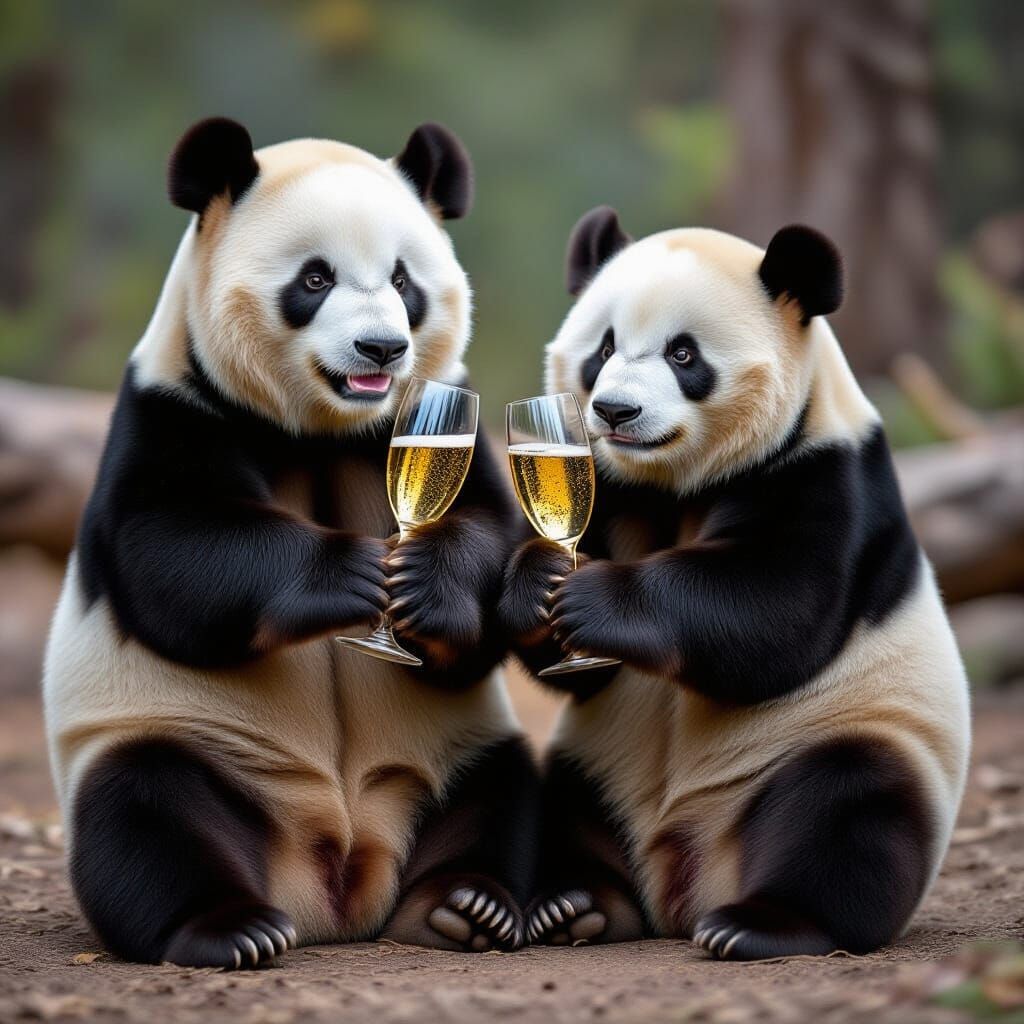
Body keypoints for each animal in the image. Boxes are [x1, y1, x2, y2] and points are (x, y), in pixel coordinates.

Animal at [43, 118, 537, 969]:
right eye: (314, 279)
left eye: (404, 280)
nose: (382, 349)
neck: (321, 433)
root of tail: (338, 881)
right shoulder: (176, 406)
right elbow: (173, 548)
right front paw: (354, 575)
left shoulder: (437, 413)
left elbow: (490, 533)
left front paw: (426, 592)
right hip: (189, 743)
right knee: (143, 810)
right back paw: (229, 928)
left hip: (450, 752)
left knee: (500, 789)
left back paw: (465, 907)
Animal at [499, 207, 971, 959]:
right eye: (603, 348)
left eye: (683, 355)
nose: (615, 412)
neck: (673, 484)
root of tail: (684, 876)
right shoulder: (617, 490)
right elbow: (582, 674)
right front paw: (536, 584)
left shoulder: (820, 471)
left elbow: (777, 610)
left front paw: (593, 600)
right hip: (596, 759)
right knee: (567, 806)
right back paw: (573, 906)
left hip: (843, 735)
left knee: (847, 811)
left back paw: (759, 924)